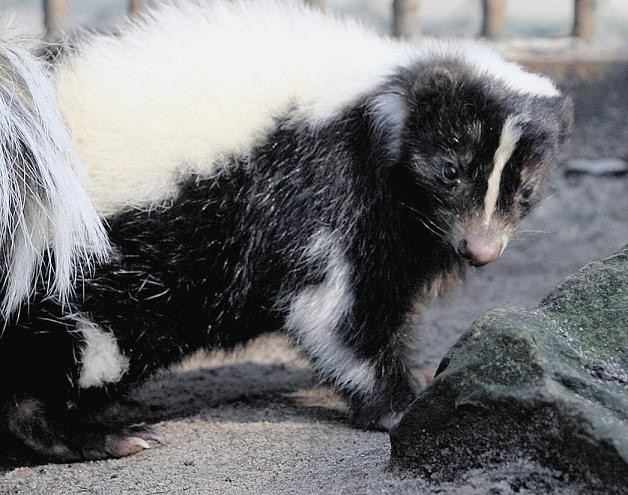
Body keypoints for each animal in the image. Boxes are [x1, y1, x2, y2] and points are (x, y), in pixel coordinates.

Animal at [0, 1, 568, 464]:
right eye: (450, 170)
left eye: (525, 190)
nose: (482, 249)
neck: (382, 95)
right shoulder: (322, 193)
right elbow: (336, 312)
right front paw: (404, 405)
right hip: (72, 262)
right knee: (49, 355)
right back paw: (92, 436)